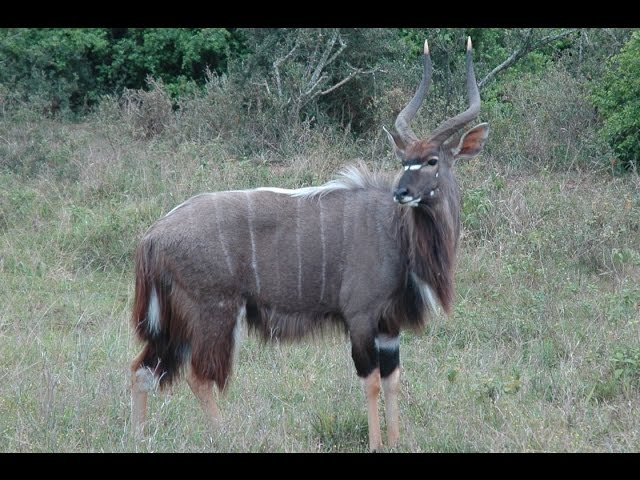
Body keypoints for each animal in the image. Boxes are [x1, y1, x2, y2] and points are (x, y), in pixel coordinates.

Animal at [130, 36, 490, 450]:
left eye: (431, 160)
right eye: (404, 160)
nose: (401, 192)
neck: (396, 232)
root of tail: (153, 236)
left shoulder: (389, 324)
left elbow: (393, 379)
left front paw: (396, 440)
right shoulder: (360, 317)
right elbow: (370, 381)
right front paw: (376, 443)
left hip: (176, 320)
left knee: (143, 370)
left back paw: (137, 436)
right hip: (212, 312)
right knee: (198, 375)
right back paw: (225, 437)